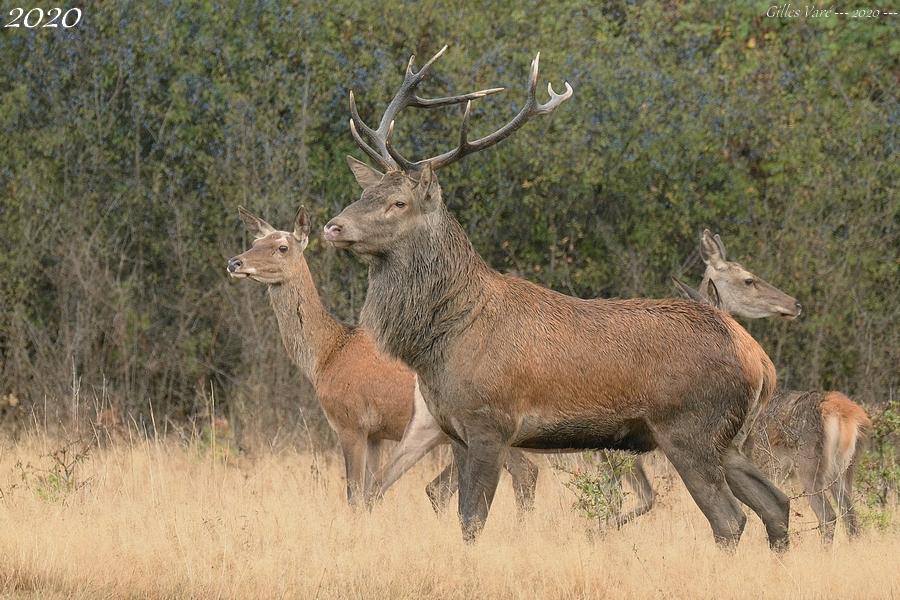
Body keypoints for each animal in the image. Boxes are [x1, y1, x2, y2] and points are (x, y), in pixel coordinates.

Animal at [229, 207, 536, 510]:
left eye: (282, 247)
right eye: (255, 241)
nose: (235, 262)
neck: (326, 356)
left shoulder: (351, 422)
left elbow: (354, 495)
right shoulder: (376, 434)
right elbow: (369, 491)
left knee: (522, 472)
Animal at [324, 44, 788, 548]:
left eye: (398, 203)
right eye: (365, 192)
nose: (333, 227)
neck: (440, 341)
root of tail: (760, 360)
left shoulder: (490, 422)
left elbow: (473, 519)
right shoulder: (455, 429)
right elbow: (461, 517)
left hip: (690, 428)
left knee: (730, 519)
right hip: (731, 439)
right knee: (777, 505)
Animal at [668, 230, 872, 544]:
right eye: (748, 280)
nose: (794, 304)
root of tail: (852, 417)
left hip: (810, 466)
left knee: (828, 516)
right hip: (845, 470)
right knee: (852, 518)